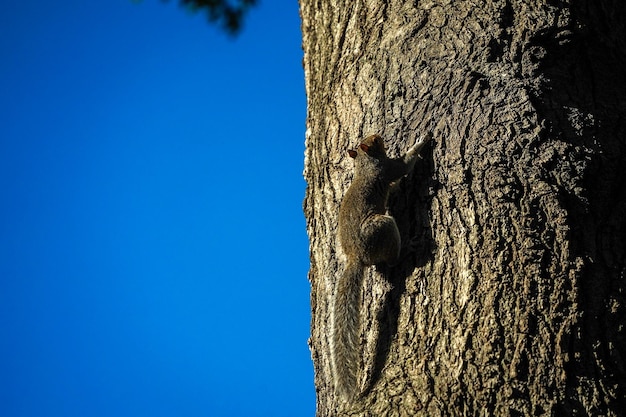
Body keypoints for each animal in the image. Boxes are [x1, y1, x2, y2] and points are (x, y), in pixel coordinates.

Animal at [332, 132, 428, 400]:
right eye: (373, 142)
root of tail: (357, 256)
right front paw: (421, 142)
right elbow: (404, 165)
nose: (379, 135)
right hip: (382, 227)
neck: (365, 164)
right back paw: (410, 246)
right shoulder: (388, 168)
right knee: (393, 258)